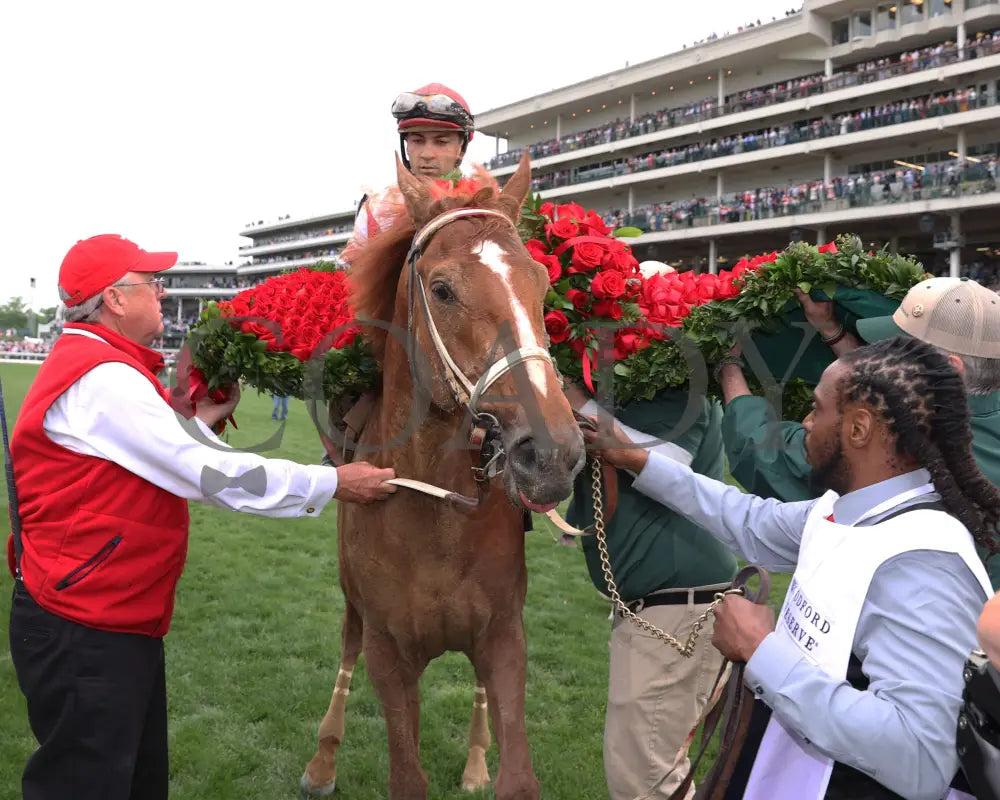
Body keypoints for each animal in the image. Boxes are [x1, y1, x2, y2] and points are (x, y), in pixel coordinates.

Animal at [300, 156, 584, 800]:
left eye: (542, 282)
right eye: (443, 289)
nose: (553, 453)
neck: (438, 517)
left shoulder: (503, 637)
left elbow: (517, 775)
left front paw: (486, 765)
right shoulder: (388, 650)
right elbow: (406, 771)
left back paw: (476, 760)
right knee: (345, 650)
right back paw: (323, 759)